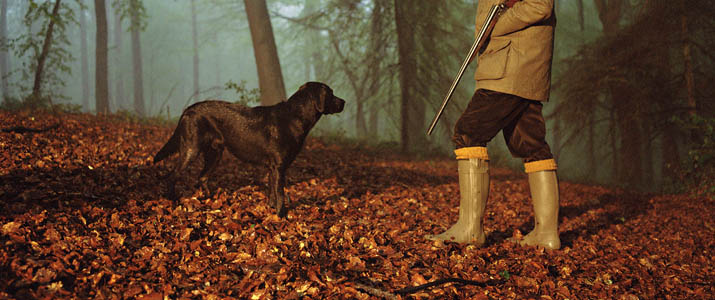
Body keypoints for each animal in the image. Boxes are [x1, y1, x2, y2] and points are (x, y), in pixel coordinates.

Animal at [155, 82, 346, 216]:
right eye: (331, 93)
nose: (344, 101)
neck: (294, 117)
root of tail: (188, 109)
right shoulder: (279, 166)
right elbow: (280, 194)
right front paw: (281, 216)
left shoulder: (273, 168)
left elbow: (272, 193)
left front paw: (271, 209)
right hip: (191, 150)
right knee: (173, 175)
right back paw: (173, 199)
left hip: (215, 153)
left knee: (202, 177)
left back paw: (211, 201)